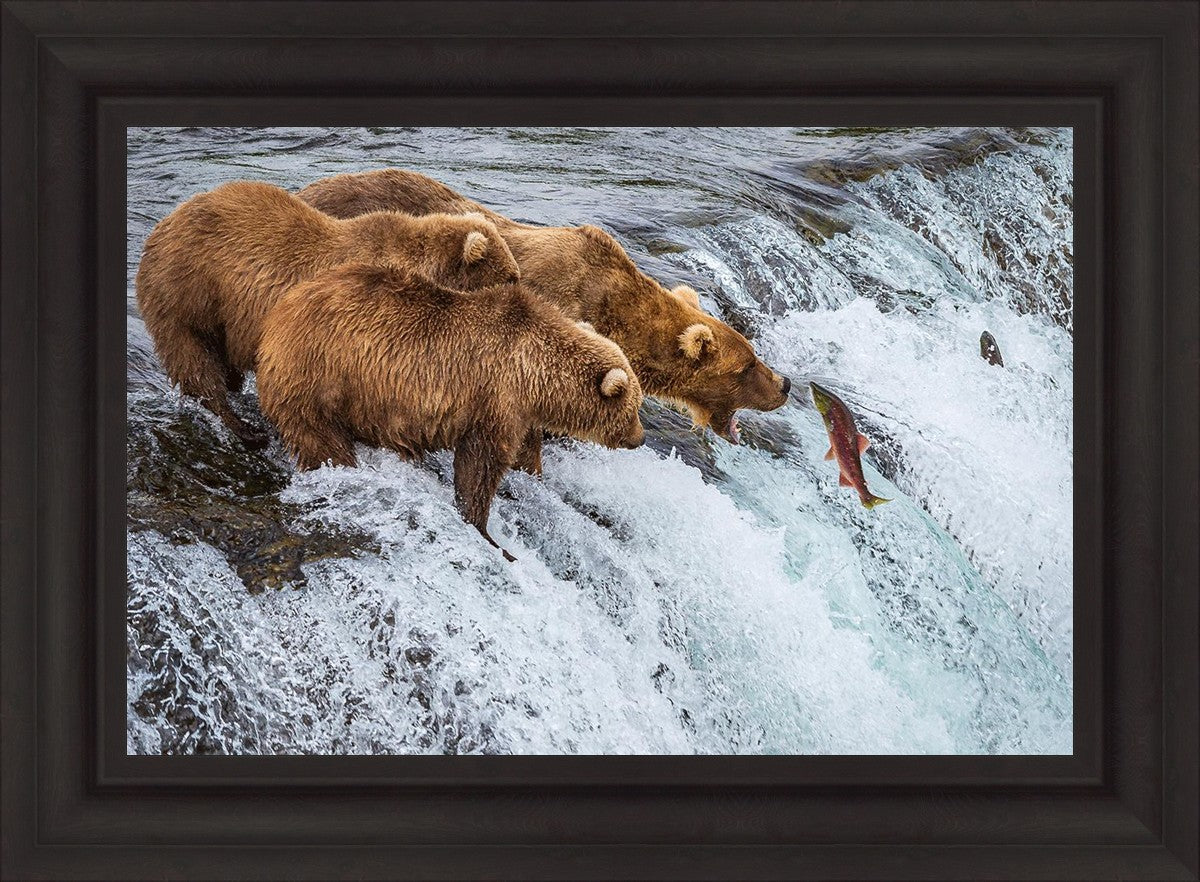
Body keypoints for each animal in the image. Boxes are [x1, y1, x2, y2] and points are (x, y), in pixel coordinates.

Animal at [135, 180, 520, 448]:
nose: (521, 288)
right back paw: (244, 428)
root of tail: (162, 224)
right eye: (511, 276)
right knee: (194, 361)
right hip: (187, 292)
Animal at [256, 262, 646, 559]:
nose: (640, 438)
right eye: (634, 408)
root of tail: (277, 316)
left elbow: (524, 453)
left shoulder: (520, 412)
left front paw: (532, 477)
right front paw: (488, 532)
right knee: (321, 439)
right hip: (319, 377)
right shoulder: (494, 398)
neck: (535, 373)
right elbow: (480, 465)